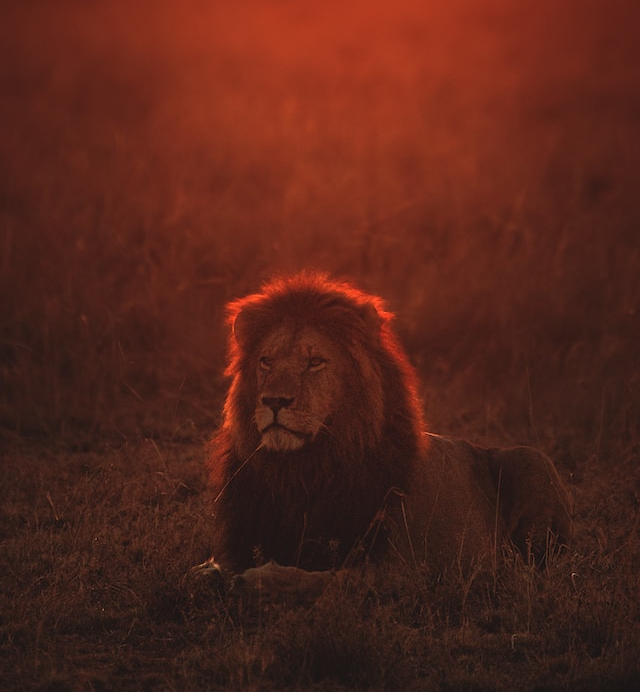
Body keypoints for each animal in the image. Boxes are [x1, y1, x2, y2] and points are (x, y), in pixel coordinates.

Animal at [202, 273, 572, 594]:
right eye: (266, 360)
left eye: (315, 362)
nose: (274, 401)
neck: (301, 471)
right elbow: (207, 570)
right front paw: (218, 575)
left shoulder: (405, 569)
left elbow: (329, 579)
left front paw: (262, 579)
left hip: (532, 460)